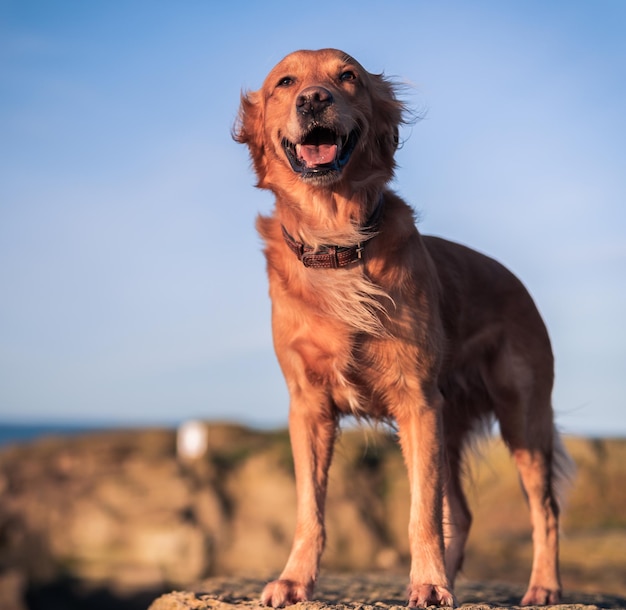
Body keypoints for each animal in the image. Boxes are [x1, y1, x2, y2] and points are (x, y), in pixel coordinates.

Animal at [233, 50, 572, 604]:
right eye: (285, 82)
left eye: (347, 76)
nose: (314, 99)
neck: (336, 240)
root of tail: (514, 279)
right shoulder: (308, 406)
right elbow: (310, 509)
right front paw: (295, 579)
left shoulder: (417, 402)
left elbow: (422, 513)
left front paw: (429, 583)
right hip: (453, 422)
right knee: (463, 512)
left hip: (522, 415)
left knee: (544, 509)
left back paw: (542, 586)